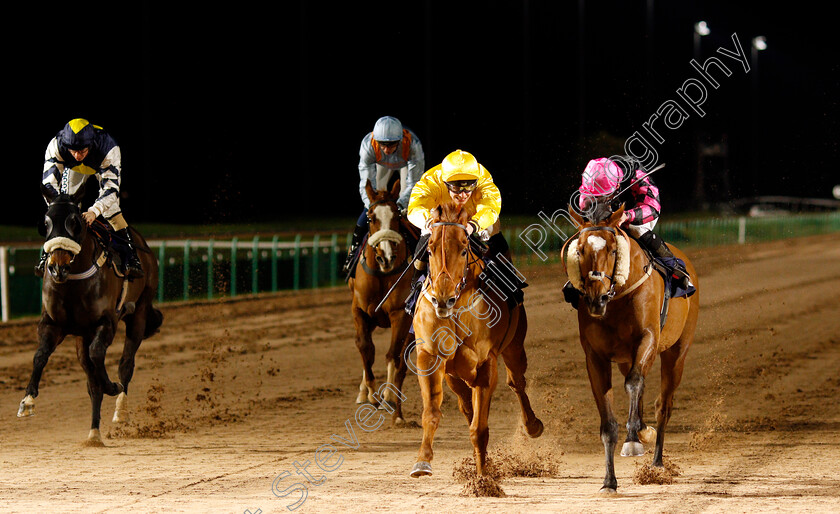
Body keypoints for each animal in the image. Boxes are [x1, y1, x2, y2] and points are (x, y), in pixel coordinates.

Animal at [346, 179, 416, 420]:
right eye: (370, 217)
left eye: (396, 216)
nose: (386, 257)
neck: (382, 274)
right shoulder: (359, 310)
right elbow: (364, 347)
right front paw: (370, 393)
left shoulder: (401, 314)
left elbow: (393, 354)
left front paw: (388, 398)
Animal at [408, 200, 540, 476]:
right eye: (430, 250)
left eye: (463, 250)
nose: (443, 299)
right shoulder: (430, 358)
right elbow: (433, 411)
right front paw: (422, 461)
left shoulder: (485, 364)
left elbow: (479, 427)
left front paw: (483, 477)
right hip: (454, 375)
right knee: (466, 405)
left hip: (514, 346)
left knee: (517, 382)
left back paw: (533, 425)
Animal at [564, 204, 704, 492]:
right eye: (580, 249)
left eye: (612, 250)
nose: (596, 297)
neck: (617, 298)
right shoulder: (595, 357)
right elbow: (608, 423)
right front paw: (609, 481)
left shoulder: (647, 338)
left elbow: (634, 383)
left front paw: (633, 439)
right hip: (627, 358)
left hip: (677, 351)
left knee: (663, 404)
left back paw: (657, 460)